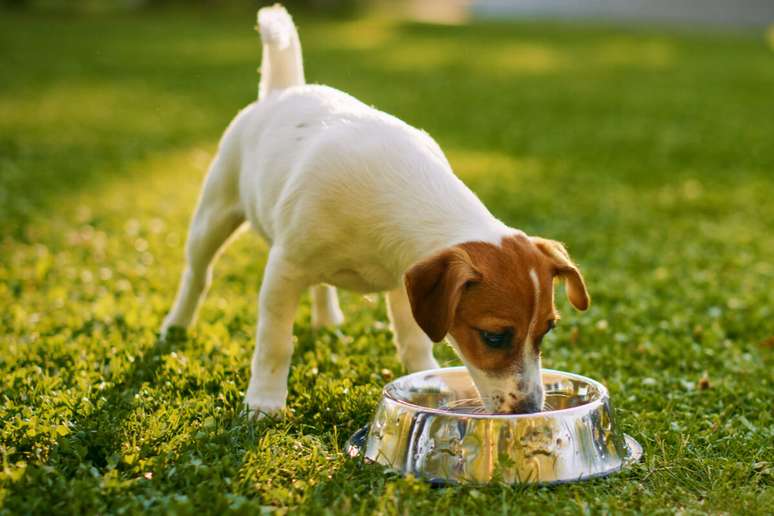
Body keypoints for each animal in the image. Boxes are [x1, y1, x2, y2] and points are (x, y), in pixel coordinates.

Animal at [161, 3, 592, 416]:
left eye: (547, 330)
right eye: (494, 336)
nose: (531, 409)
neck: (402, 192)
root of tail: (283, 90)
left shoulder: (405, 284)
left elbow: (414, 341)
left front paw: (427, 382)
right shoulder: (284, 270)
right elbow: (275, 344)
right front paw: (264, 403)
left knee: (320, 286)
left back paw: (327, 320)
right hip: (214, 214)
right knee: (198, 275)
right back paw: (175, 326)